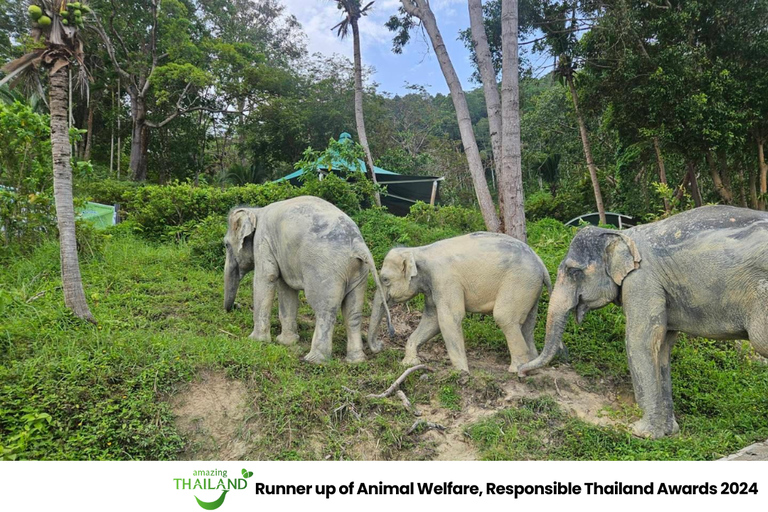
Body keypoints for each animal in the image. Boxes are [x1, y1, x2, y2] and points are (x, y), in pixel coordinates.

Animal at [223, 196, 392, 364]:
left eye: (226, 245)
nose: (235, 306)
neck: (256, 211)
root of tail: (359, 245)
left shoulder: (263, 241)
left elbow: (267, 277)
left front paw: (256, 340)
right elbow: (286, 288)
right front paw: (286, 342)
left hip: (326, 270)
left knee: (325, 310)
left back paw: (314, 360)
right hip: (359, 272)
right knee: (353, 313)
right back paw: (356, 360)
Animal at [367, 232, 552, 372]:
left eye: (385, 279)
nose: (381, 344)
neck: (418, 250)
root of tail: (541, 263)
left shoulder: (445, 279)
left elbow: (449, 318)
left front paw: (460, 372)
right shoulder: (433, 286)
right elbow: (432, 320)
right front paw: (408, 363)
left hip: (520, 282)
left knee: (504, 317)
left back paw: (516, 370)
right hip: (531, 288)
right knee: (527, 325)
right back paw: (532, 367)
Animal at [519, 205, 768, 438]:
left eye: (573, 272)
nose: (521, 372)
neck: (622, 235)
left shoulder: (641, 280)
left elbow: (640, 341)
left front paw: (641, 433)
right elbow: (662, 346)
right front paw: (668, 432)